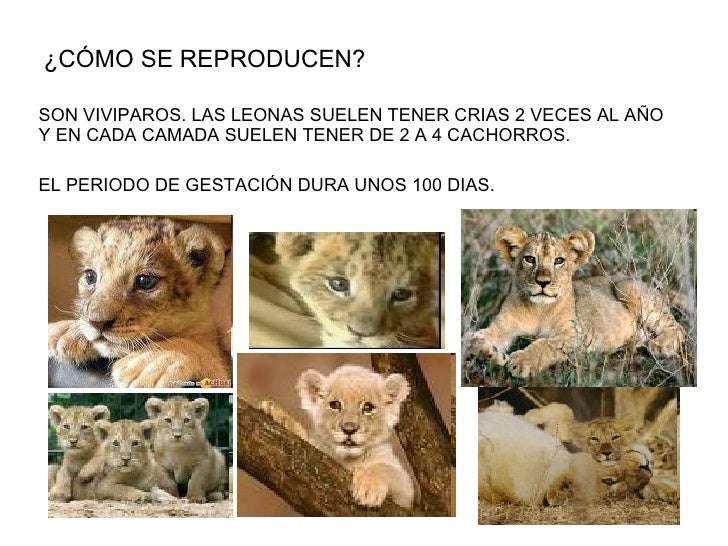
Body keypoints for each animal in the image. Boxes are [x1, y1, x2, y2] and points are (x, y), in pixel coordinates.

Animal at [48, 217, 231, 388]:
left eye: (145, 281)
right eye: (90, 276)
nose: (97, 322)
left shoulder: (222, 370)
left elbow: (202, 351)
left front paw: (149, 363)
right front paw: (65, 331)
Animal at [260, 364, 415, 508]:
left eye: (368, 407)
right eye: (335, 405)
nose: (349, 429)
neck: (347, 459)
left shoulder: (406, 494)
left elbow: (385, 468)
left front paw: (368, 489)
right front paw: (276, 413)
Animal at [471, 226, 685, 377]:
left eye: (559, 261)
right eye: (530, 259)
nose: (543, 282)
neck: (538, 310)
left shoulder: (576, 335)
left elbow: (546, 344)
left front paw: (522, 361)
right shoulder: (504, 325)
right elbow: (473, 338)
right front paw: (491, 354)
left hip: (627, 288)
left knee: (678, 328)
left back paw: (660, 345)